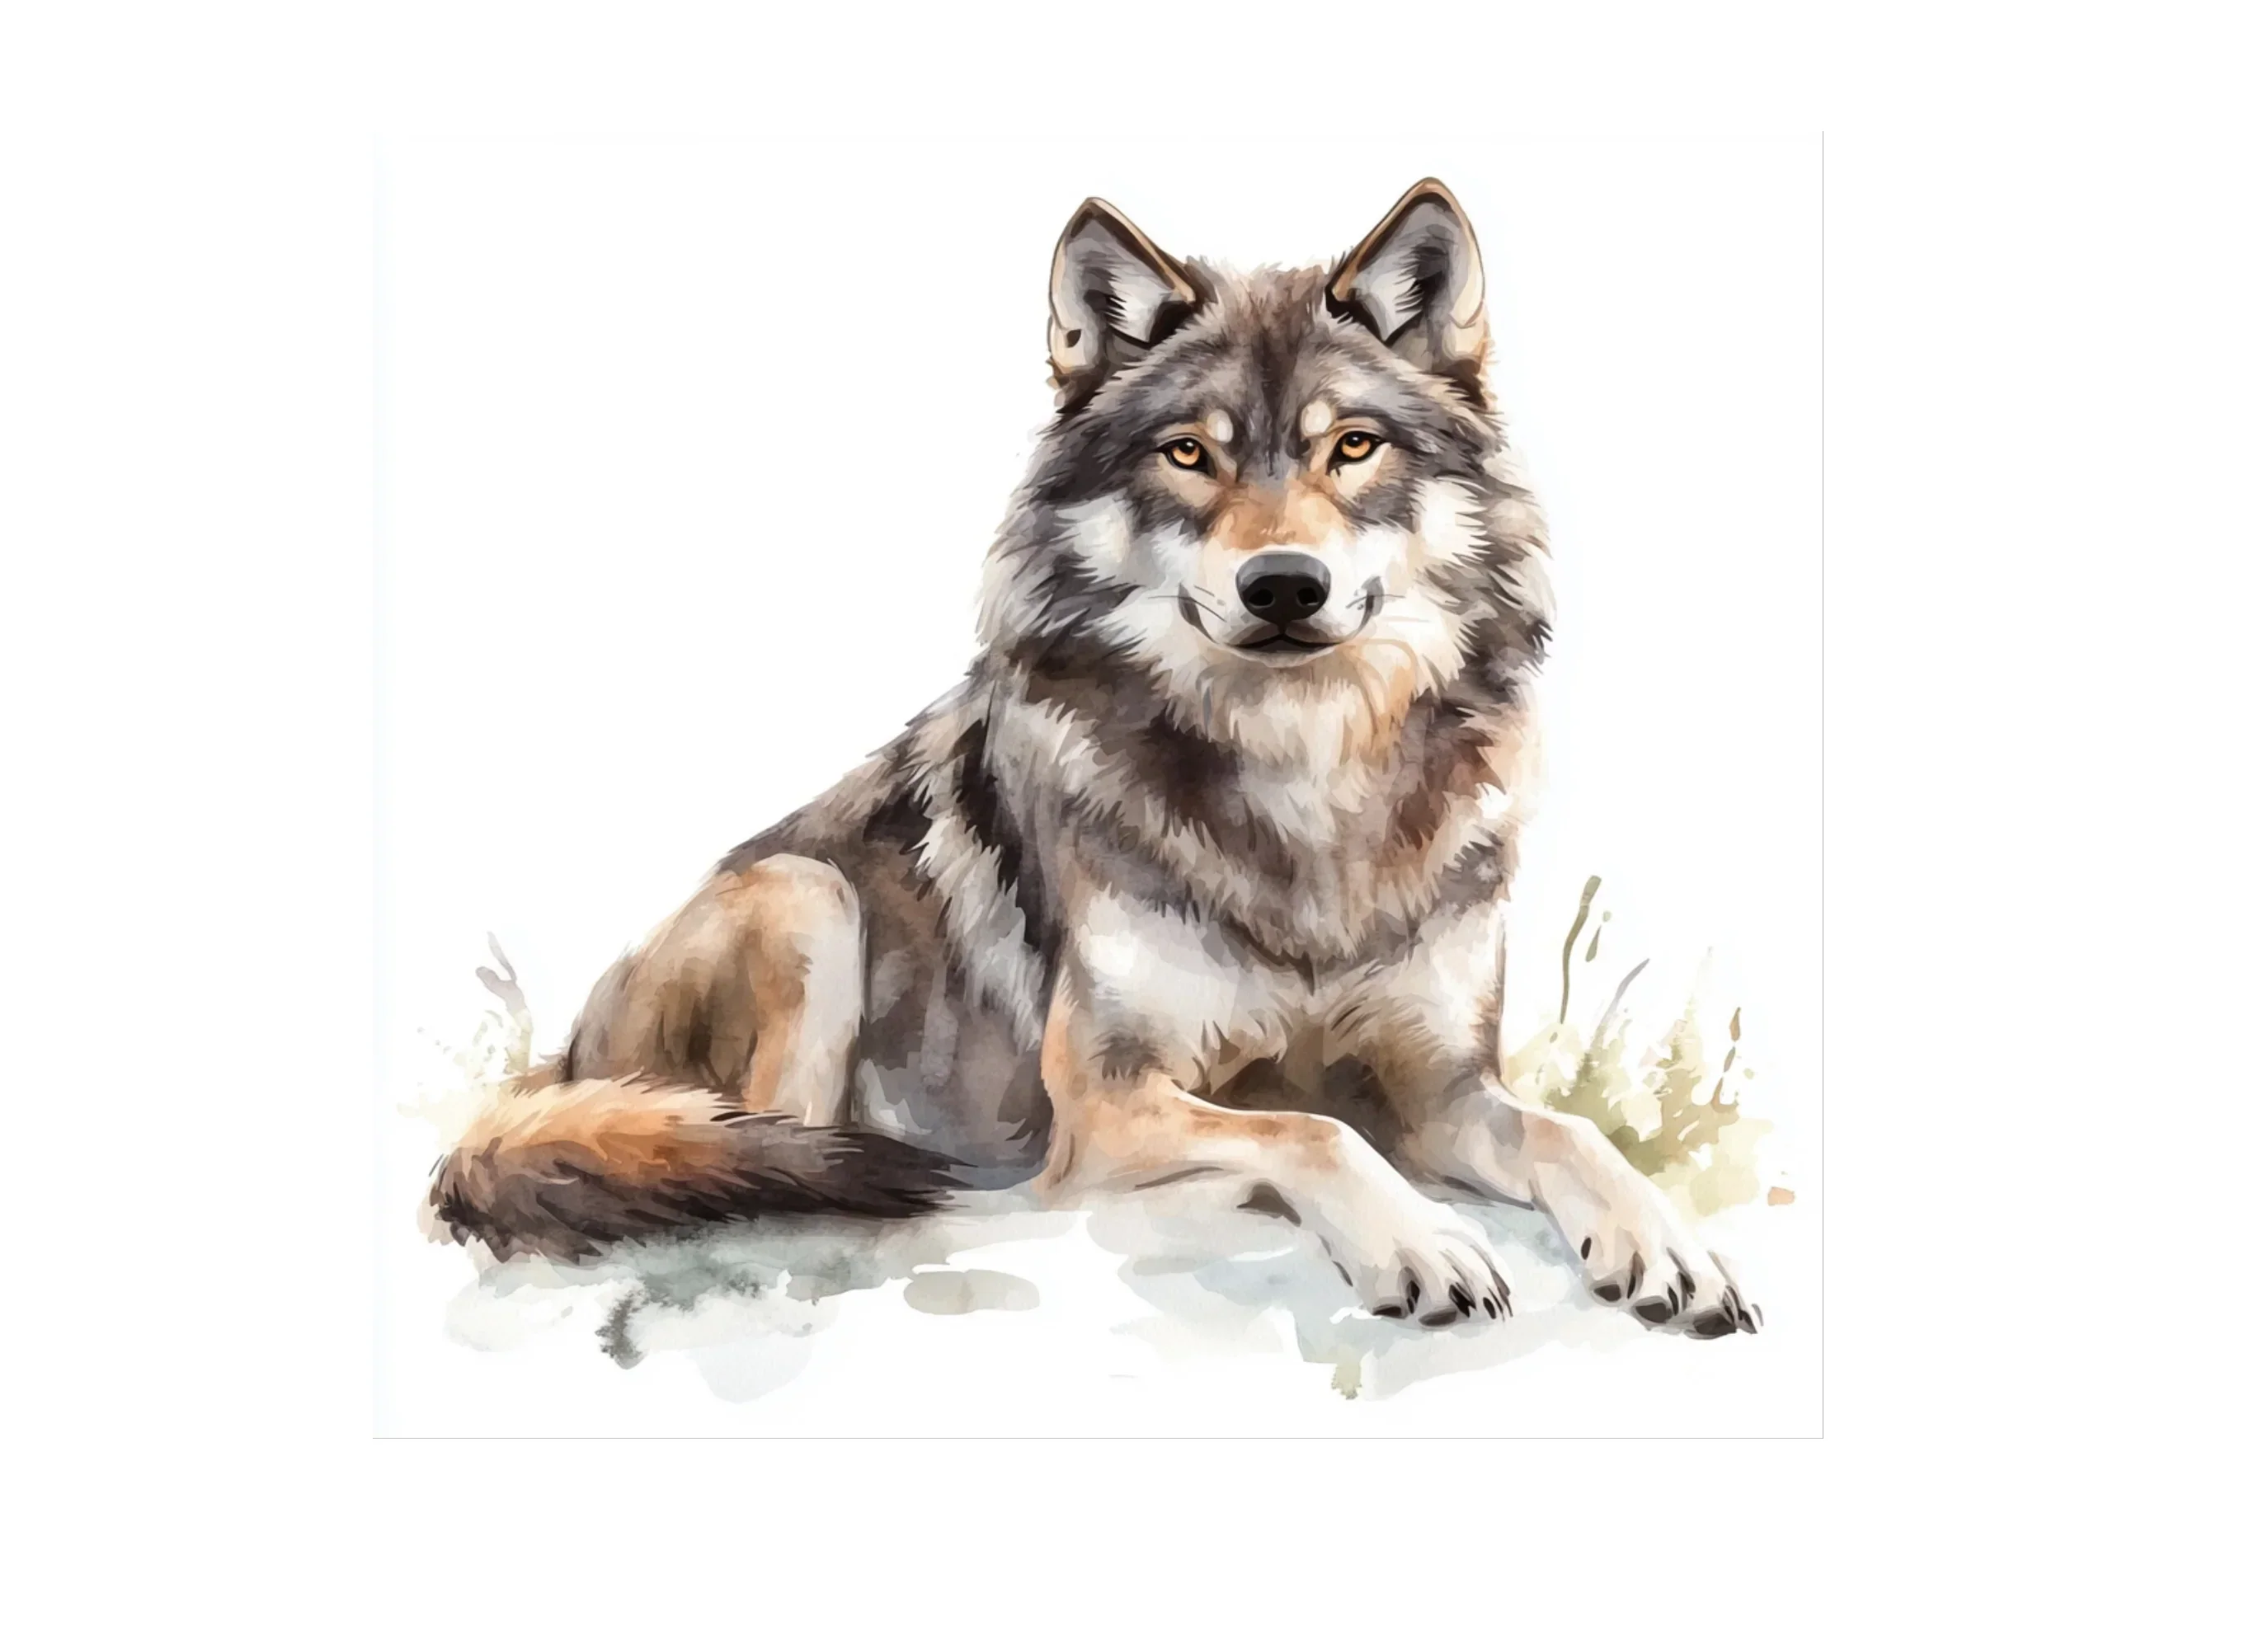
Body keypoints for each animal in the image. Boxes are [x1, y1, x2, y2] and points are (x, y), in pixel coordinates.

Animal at [430, 179, 1758, 1337]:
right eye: (1187, 454)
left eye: (1351, 447)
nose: (1283, 585)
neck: (1303, 776)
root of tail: (560, 1066)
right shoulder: (1111, 1099)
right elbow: (1308, 1132)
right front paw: (1419, 1241)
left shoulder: (1442, 1090)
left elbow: (1568, 1134)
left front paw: (1664, 1241)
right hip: (805, 903)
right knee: (765, 1160)